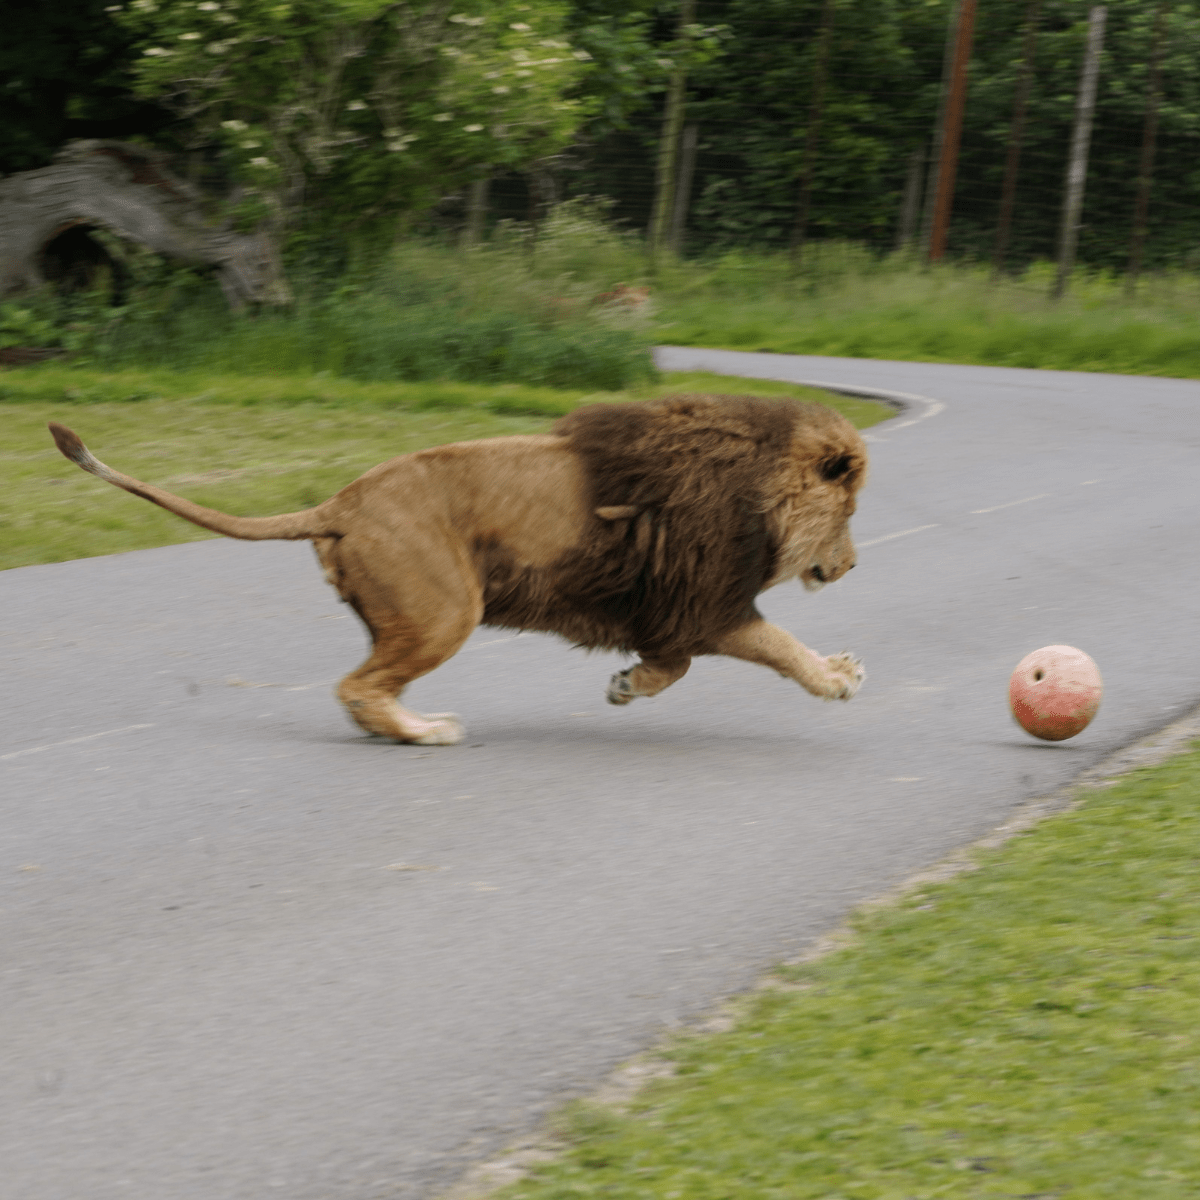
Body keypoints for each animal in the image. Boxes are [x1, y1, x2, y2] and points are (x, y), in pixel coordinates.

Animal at [48, 393, 867, 746]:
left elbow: (674, 667)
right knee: (357, 685)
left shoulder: (673, 613)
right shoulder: (706, 604)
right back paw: (425, 731)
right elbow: (779, 646)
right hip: (445, 610)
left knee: (363, 686)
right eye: (852, 511)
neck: (762, 488)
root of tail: (339, 501)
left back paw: (400, 728)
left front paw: (625, 686)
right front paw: (838, 678)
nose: (853, 564)